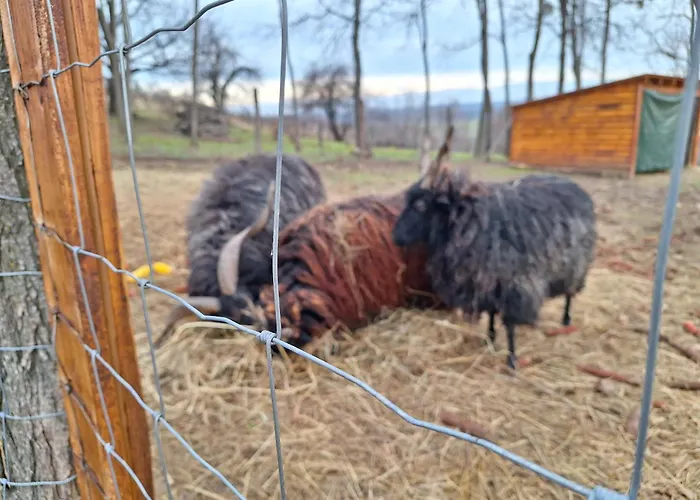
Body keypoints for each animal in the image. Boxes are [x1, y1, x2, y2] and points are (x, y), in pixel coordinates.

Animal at [391, 126, 597, 369]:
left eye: (421, 205)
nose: (395, 237)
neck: (468, 220)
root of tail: (573, 185)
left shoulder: (514, 284)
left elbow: (510, 324)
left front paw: (512, 360)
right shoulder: (486, 280)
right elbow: (490, 312)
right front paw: (489, 339)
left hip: (576, 264)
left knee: (570, 294)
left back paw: (566, 320)